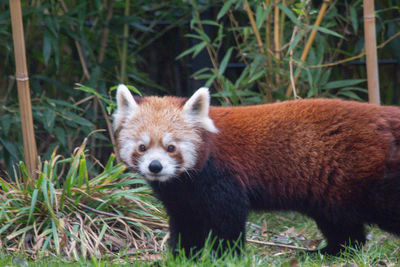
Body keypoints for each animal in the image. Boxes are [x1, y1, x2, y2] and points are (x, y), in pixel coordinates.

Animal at [111, 85, 400, 258]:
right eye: (142, 147)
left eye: (170, 147)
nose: (155, 166)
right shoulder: (181, 194)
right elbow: (186, 222)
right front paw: (183, 255)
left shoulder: (222, 180)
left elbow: (228, 219)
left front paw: (224, 254)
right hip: (332, 191)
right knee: (342, 225)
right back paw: (331, 251)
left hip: (369, 179)